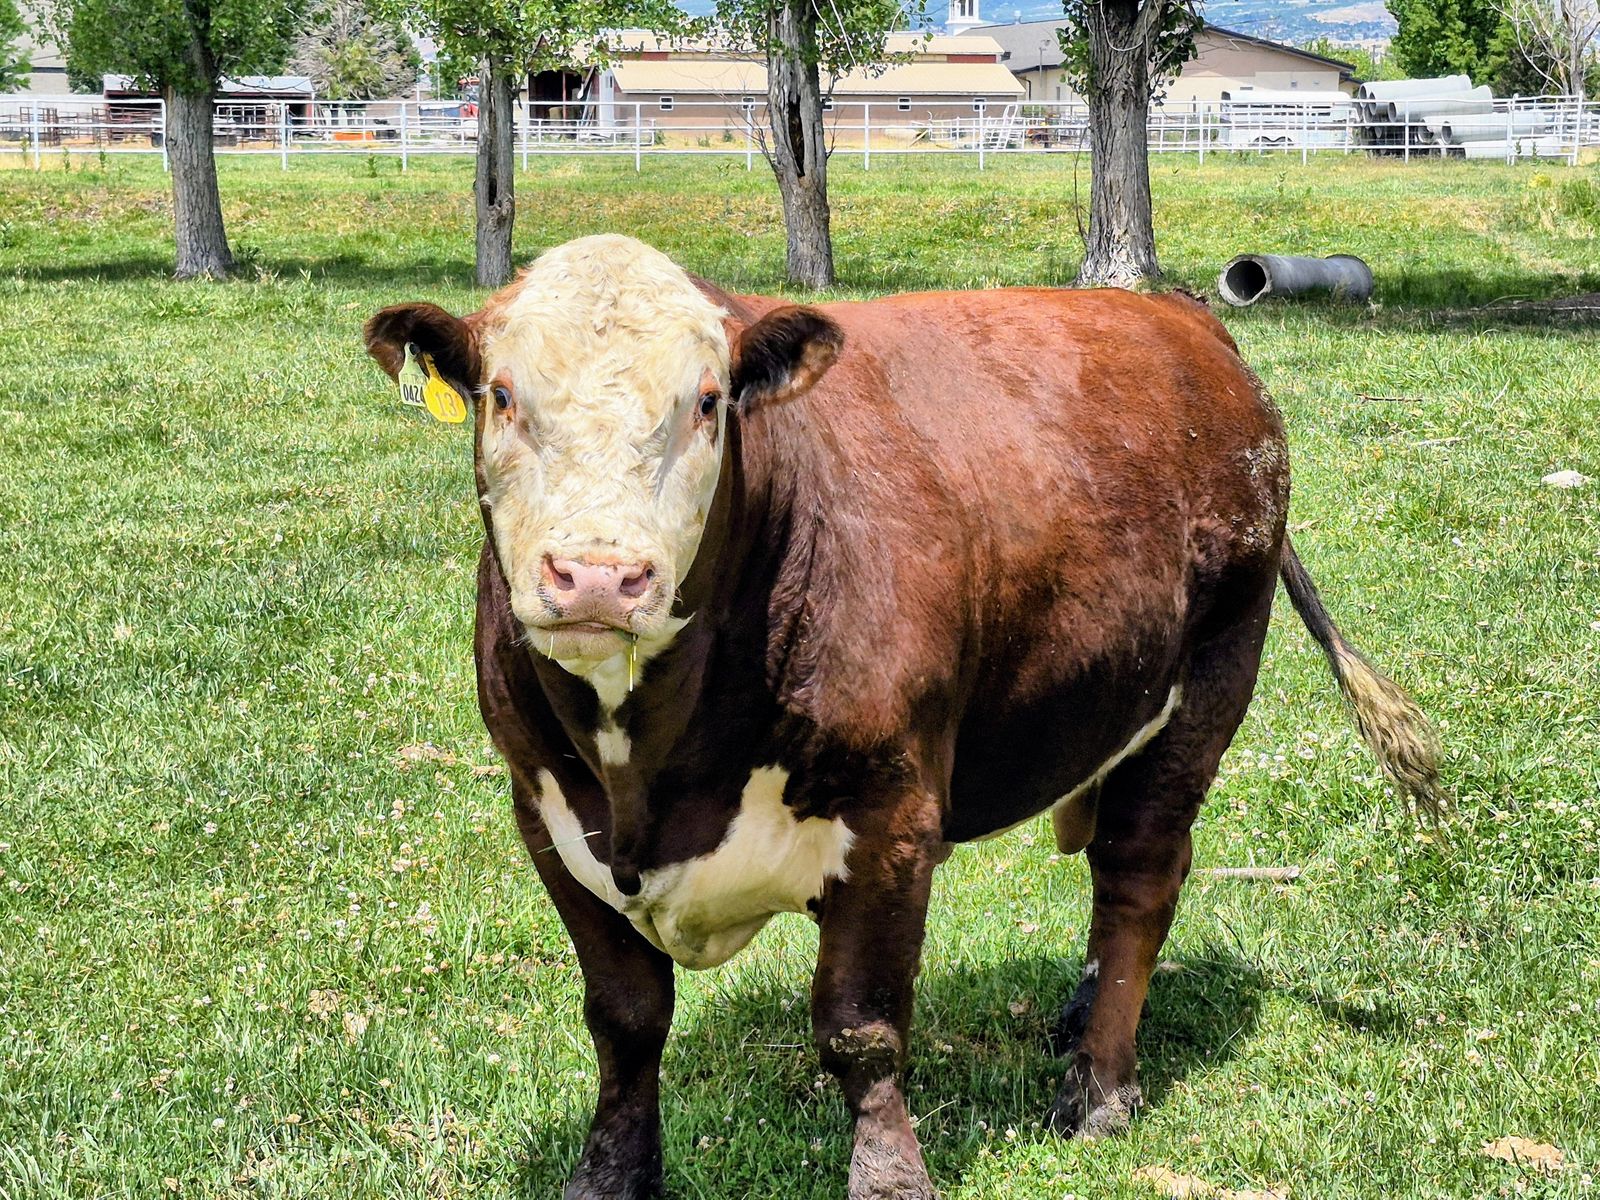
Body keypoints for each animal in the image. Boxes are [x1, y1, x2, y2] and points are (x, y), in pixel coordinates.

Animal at [364, 235, 1443, 1200]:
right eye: (502, 395)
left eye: (708, 401)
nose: (597, 576)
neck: (649, 773)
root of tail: (1178, 315)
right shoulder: (547, 813)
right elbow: (625, 1019)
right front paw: (608, 1177)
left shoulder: (891, 817)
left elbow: (861, 1029)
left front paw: (889, 1178)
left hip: (1212, 675)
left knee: (1139, 872)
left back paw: (1098, 1085)